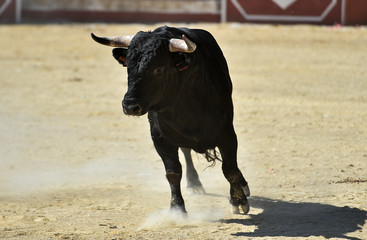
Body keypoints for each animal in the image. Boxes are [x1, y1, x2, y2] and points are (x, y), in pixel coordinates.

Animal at [91, 25, 250, 214]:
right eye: (128, 66)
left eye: (159, 68)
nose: (129, 106)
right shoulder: (160, 139)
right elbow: (173, 173)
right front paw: (177, 209)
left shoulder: (227, 134)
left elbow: (230, 168)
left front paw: (238, 200)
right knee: (186, 153)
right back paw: (194, 184)